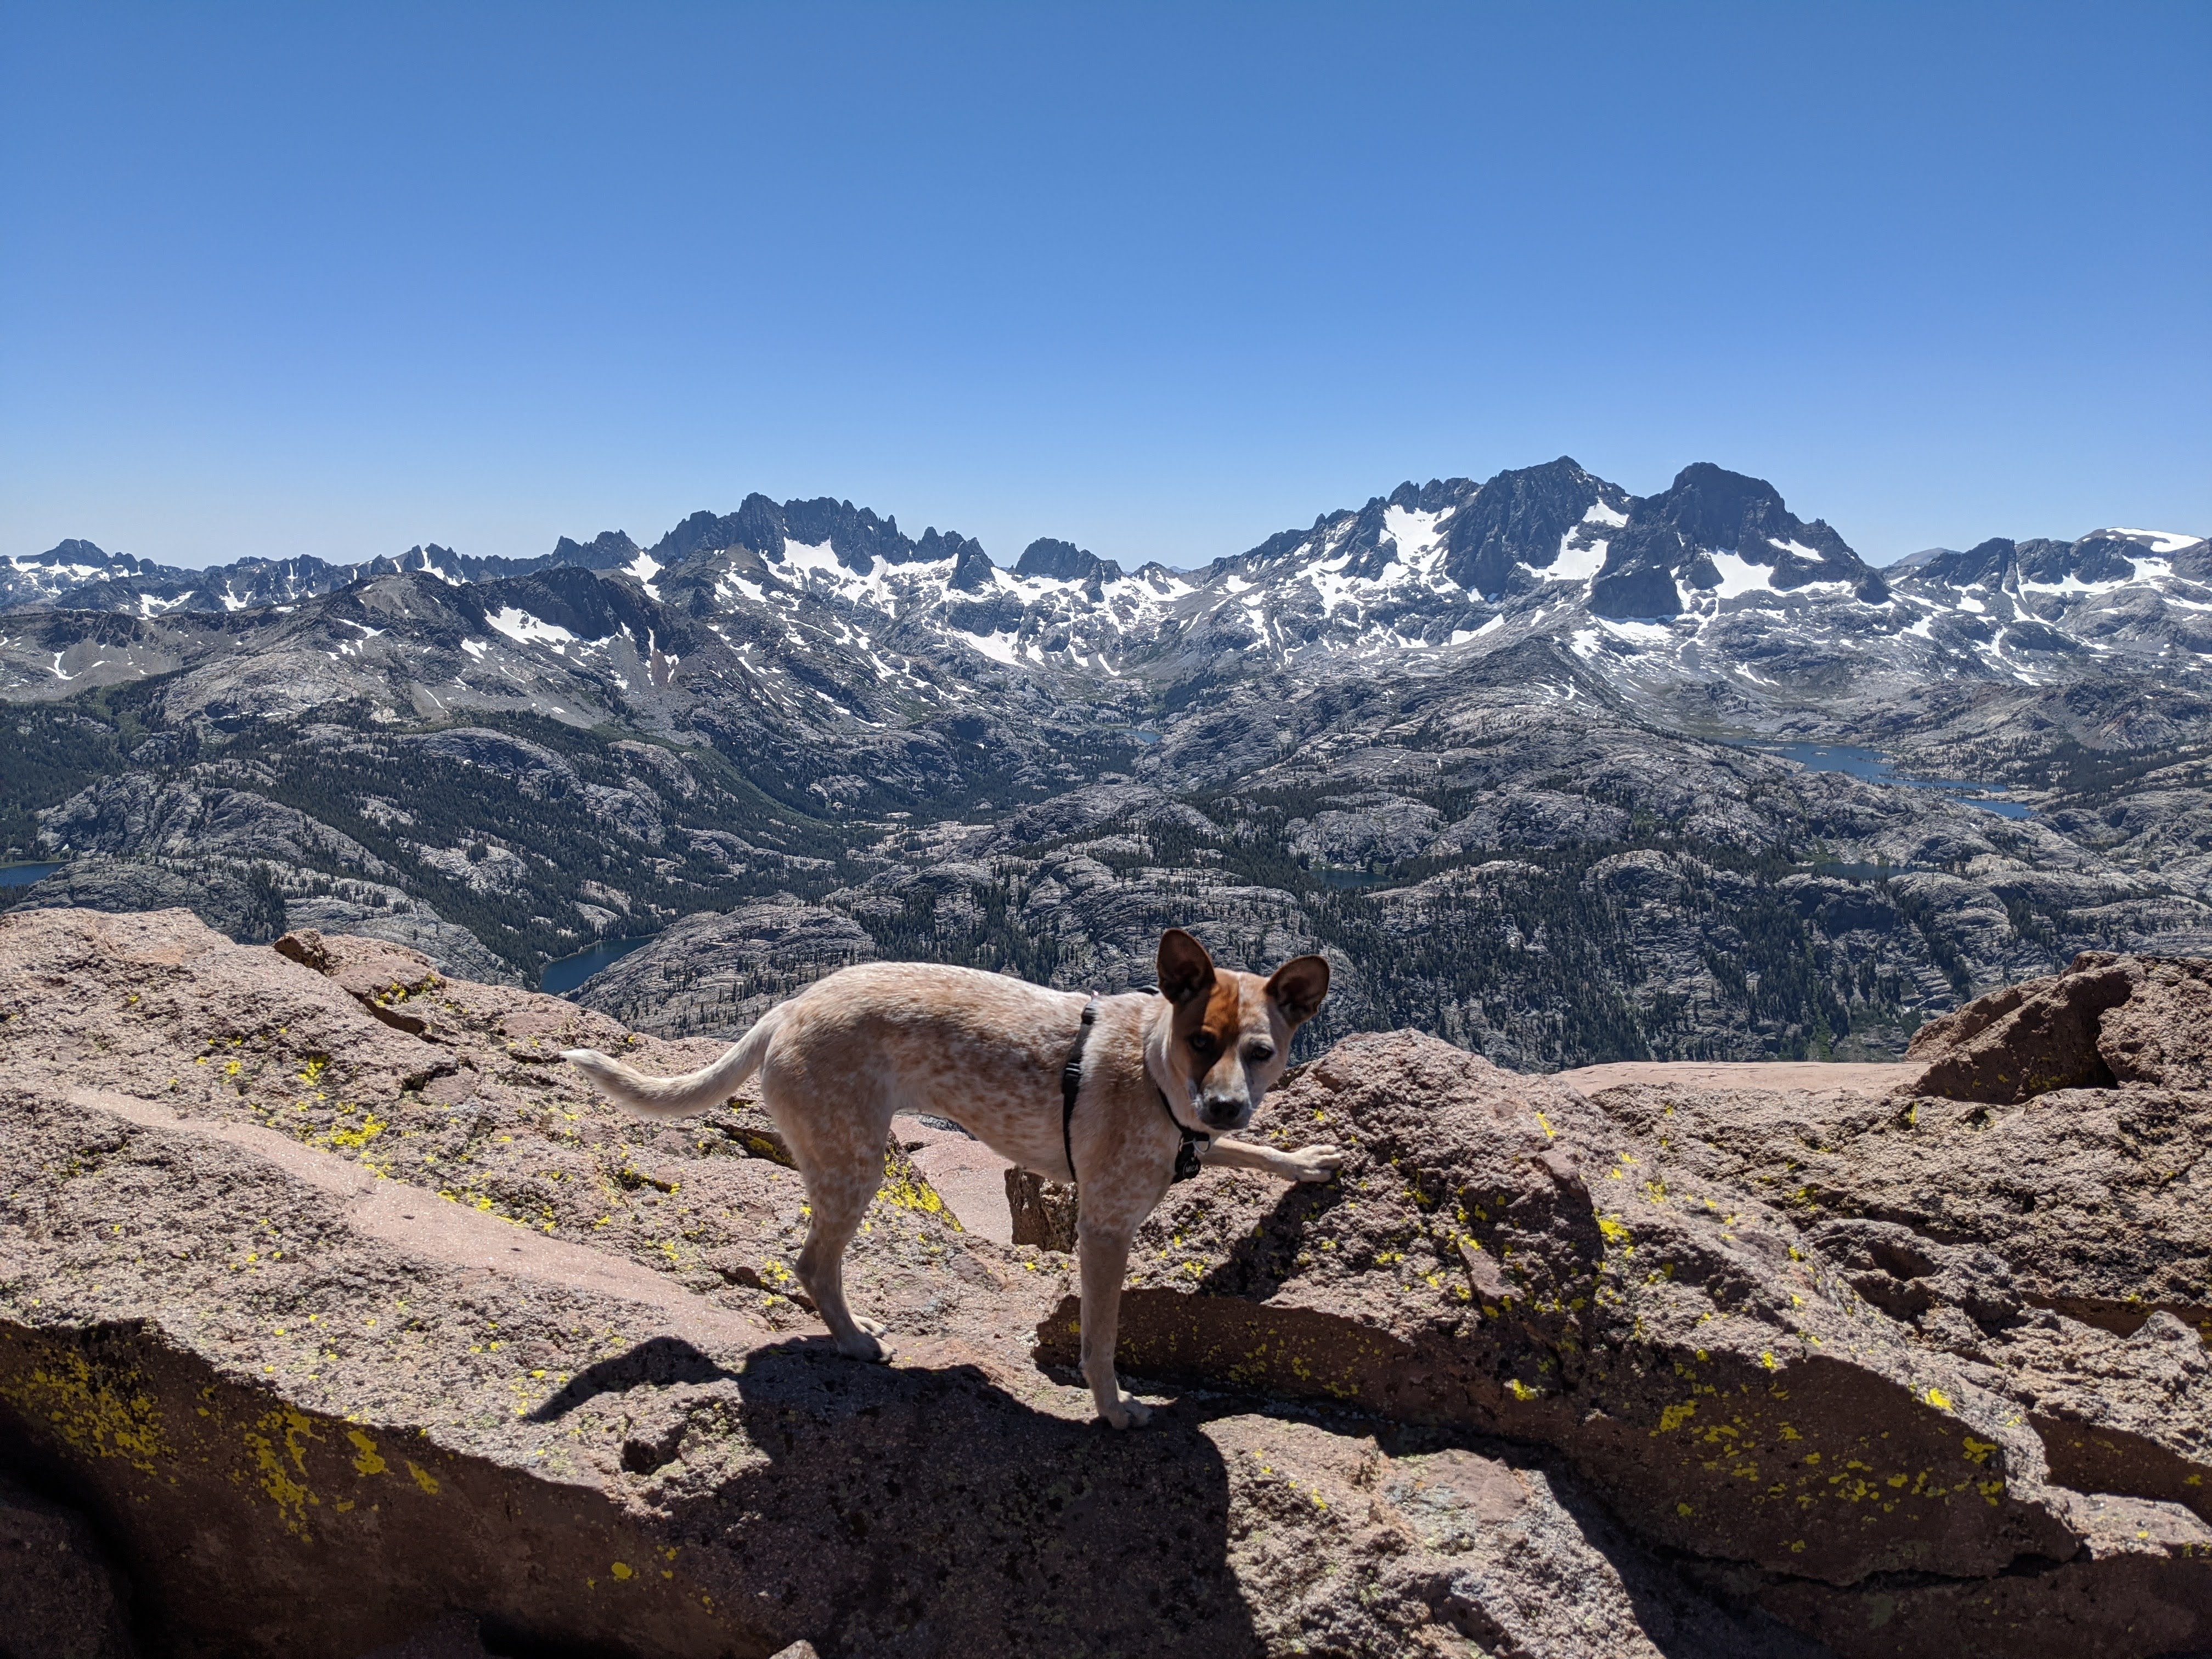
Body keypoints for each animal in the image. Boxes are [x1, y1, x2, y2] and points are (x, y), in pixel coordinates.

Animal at [562, 938, 1336, 1433]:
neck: (1154, 1069)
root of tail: (789, 1007)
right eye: (1201, 1041)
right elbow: (1101, 1341)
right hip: (855, 1164)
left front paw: (1309, 1160)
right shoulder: (1106, 1229)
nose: (1225, 1105)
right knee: (812, 1264)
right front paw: (1115, 1410)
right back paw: (855, 1343)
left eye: (1261, 1052)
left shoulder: (1199, 1139)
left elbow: (1254, 1150)